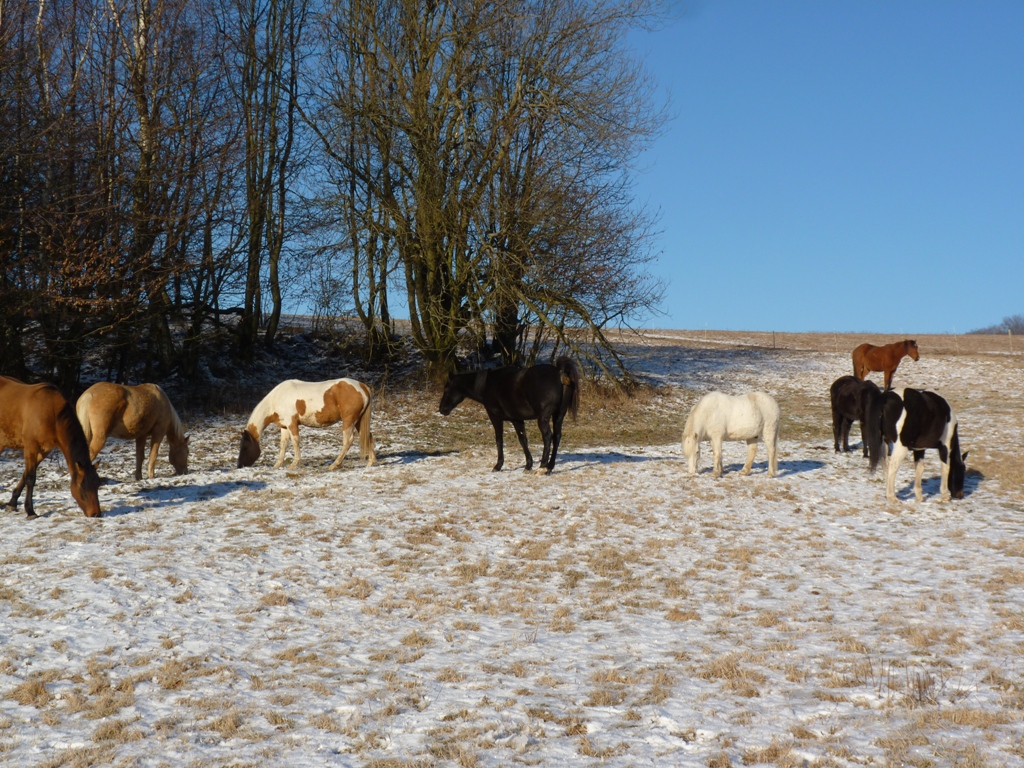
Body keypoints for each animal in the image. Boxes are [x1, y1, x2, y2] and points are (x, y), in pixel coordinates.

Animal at [0, 376, 101, 520]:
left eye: (98, 484)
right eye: (82, 487)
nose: (96, 514)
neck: (52, 414)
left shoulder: (45, 450)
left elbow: (25, 475)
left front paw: (12, 503)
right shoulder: (31, 446)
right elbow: (30, 478)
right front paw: (30, 511)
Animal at [236, 376, 376, 468]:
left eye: (245, 446)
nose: (239, 465)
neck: (277, 398)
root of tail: (362, 386)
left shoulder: (292, 424)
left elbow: (295, 441)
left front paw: (294, 463)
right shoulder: (284, 427)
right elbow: (283, 444)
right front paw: (277, 465)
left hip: (348, 421)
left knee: (348, 441)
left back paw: (335, 465)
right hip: (358, 421)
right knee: (368, 436)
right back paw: (371, 462)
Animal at [440, 356, 585, 475]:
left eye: (446, 389)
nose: (441, 409)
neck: (488, 384)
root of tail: (560, 373)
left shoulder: (495, 417)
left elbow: (499, 440)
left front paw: (498, 466)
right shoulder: (517, 419)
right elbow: (523, 440)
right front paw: (528, 465)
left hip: (543, 418)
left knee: (548, 437)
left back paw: (542, 467)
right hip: (558, 416)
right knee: (557, 437)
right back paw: (549, 467)